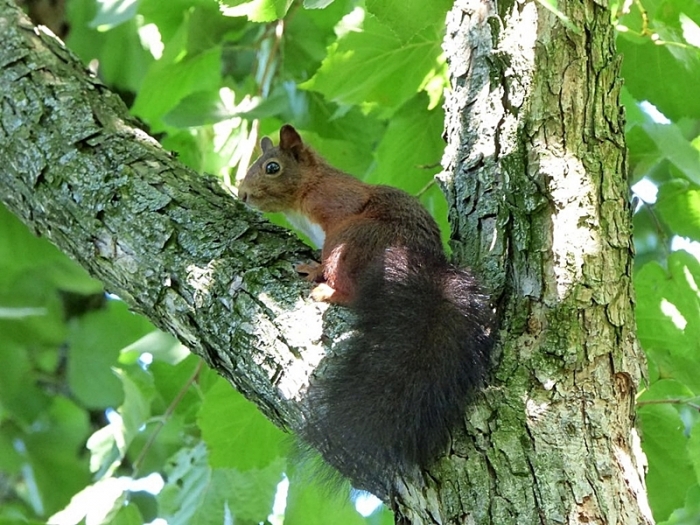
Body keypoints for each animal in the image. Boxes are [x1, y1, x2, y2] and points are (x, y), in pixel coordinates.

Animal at [238, 124, 495, 498]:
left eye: (272, 167)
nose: (242, 194)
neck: (308, 187)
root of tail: (414, 264)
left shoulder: (336, 201)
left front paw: (315, 269)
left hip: (352, 241)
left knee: (350, 287)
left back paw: (326, 287)